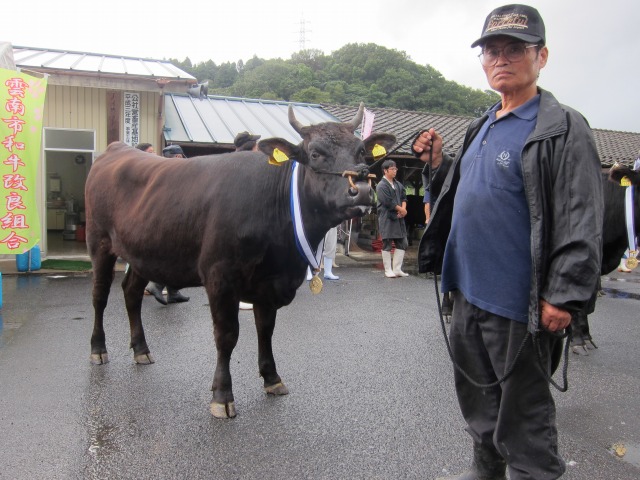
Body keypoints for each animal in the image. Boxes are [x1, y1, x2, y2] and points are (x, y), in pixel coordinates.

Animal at [85, 104, 396, 416]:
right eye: (316, 153)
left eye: (361, 152)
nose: (362, 189)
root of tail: (117, 148)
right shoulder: (220, 276)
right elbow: (227, 335)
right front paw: (222, 395)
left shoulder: (269, 282)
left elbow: (266, 330)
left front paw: (272, 378)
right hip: (99, 242)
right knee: (100, 296)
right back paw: (98, 349)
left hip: (142, 253)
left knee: (131, 293)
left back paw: (141, 350)